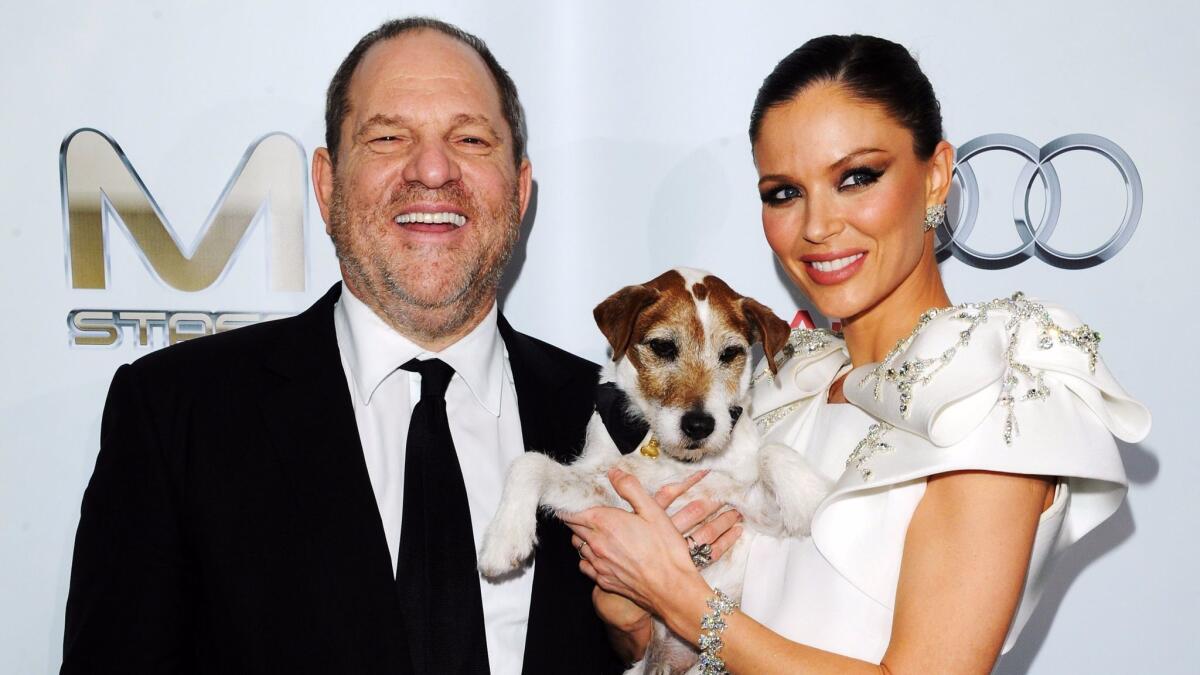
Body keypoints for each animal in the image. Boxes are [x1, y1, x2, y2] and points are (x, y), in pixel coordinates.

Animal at [475, 267, 825, 672]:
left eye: (730, 353)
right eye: (663, 347)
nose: (699, 426)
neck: (668, 456)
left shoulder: (752, 514)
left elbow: (771, 453)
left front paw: (807, 500)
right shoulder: (607, 495)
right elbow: (529, 461)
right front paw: (504, 539)